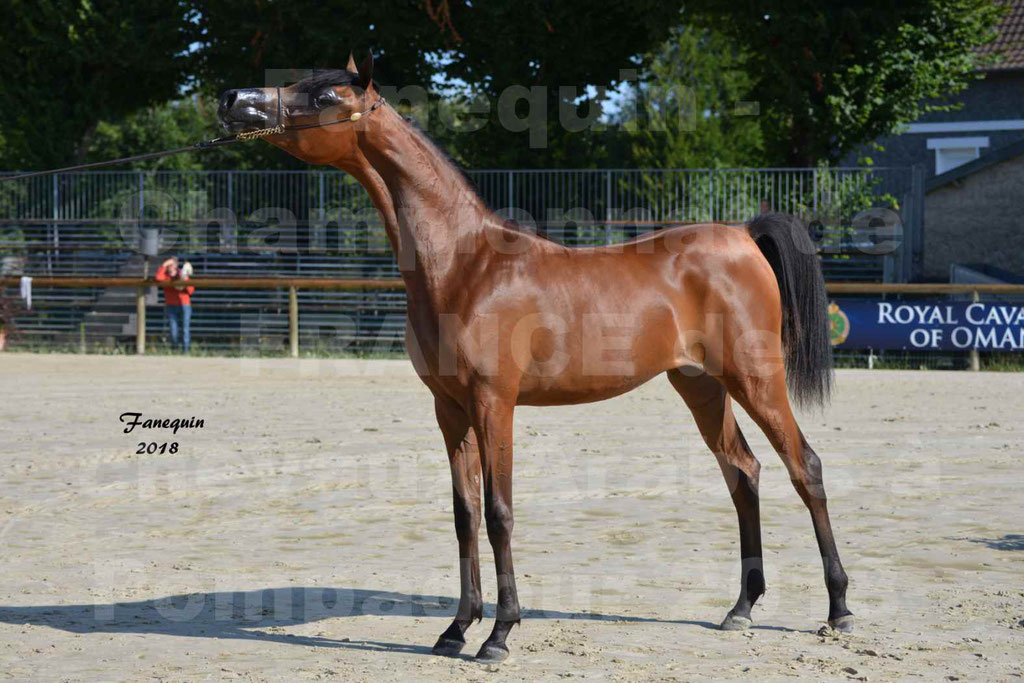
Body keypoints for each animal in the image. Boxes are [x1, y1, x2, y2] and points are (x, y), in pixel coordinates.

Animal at [220, 53, 851, 663]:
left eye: (325, 95)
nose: (233, 99)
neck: (465, 265)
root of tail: (744, 235)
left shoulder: (494, 403)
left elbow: (500, 512)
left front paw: (499, 634)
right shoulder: (449, 409)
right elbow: (465, 514)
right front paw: (456, 629)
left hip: (756, 378)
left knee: (806, 467)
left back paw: (838, 609)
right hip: (700, 386)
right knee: (743, 473)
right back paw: (741, 608)